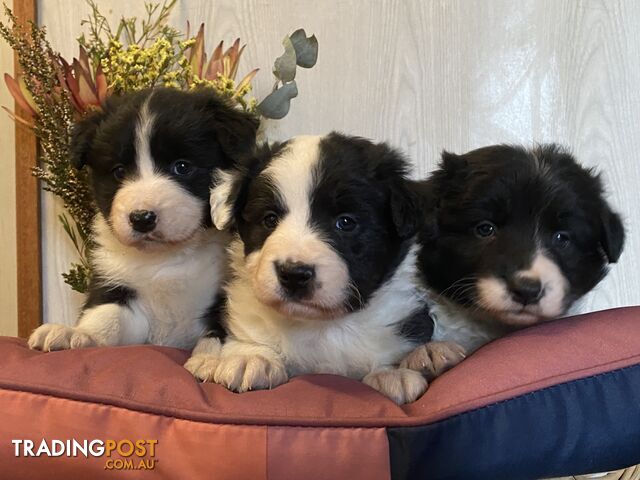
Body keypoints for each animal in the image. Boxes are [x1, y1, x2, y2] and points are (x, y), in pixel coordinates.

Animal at [27, 88, 258, 350]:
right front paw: (75, 333)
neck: (166, 258)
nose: (142, 218)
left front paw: (209, 357)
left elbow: (215, 336)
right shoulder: (116, 283)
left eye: (182, 166)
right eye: (119, 171)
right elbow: (106, 316)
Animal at [181, 133, 440, 404]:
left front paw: (391, 374)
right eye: (269, 219)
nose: (293, 274)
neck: (319, 326)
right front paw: (252, 357)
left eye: (346, 222)